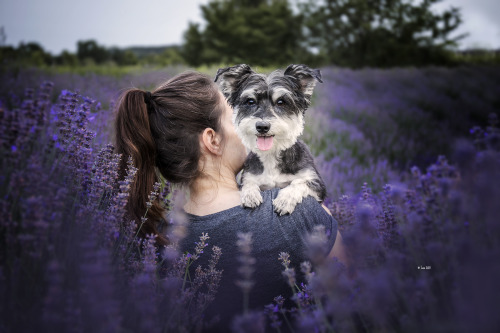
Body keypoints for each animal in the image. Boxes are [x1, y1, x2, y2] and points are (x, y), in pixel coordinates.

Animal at [216, 64, 328, 215]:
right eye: (250, 101)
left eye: (281, 102)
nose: (262, 126)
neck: (271, 155)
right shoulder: (249, 176)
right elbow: (248, 182)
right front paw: (250, 194)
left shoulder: (317, 184)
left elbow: (298, 183)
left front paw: (284, 200)